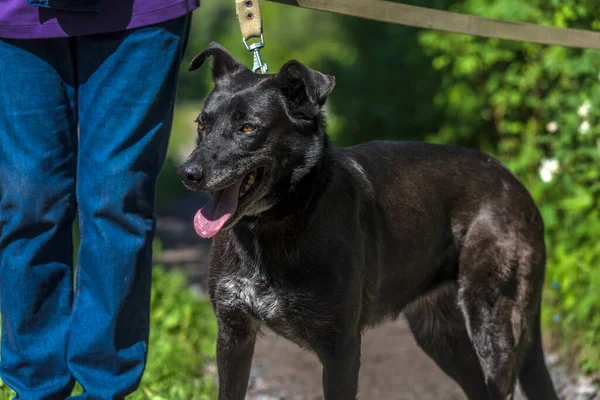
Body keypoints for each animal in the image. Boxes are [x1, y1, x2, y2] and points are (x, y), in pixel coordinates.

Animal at [177, 42, 556, 398]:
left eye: (247, 127)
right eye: (202, 124)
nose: (187, 174)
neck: (277, 222)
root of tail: (517, 184)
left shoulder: (341, 348)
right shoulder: (233, 334)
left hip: (492, 321)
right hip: (438, 332)